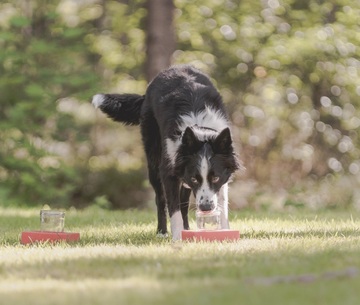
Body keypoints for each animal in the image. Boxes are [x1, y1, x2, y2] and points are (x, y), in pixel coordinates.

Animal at [91, 64, 240, 240]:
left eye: (215, 177)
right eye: (195, 179)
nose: (205, 208)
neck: (199, 131)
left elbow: (221, 203)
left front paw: (224, 231)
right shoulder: (170, 170)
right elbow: (173, 208)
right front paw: (177, 238)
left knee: (183, 201)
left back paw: (186, 228)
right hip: (154, 161)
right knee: (160, 199)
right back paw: (162, 232)